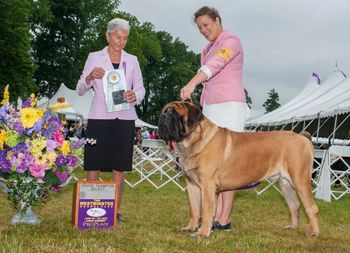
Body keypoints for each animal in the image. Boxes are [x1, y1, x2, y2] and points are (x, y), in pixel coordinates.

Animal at [159, 100, 320, 237]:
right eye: (164, 111)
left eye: (176, 113)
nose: (163, 116)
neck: (191, 142)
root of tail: (303, 138)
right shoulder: (192, 185)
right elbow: (194, 209)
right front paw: (190, 227)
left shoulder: (207, 186)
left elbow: (206, 211)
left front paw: (203, 233)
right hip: (285, 184)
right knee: (294, 205)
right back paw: (292, 227)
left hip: (300, 180)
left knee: (311, 207)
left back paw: (313, 232)